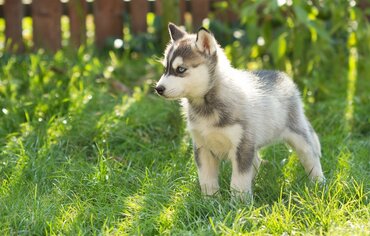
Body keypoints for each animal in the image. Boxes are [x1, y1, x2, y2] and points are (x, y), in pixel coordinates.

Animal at [155, 23, 326, 197]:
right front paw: (209, 199)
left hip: (297, 134)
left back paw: (319, 183)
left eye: (181, 69)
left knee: (311, 156)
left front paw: (239, 201)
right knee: (256, 161)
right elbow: (207, 179)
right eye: (165, 69)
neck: (206, 106)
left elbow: (238, 180)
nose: (158, 89)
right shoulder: (202, 146)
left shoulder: (242, 145)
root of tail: (281, 75)